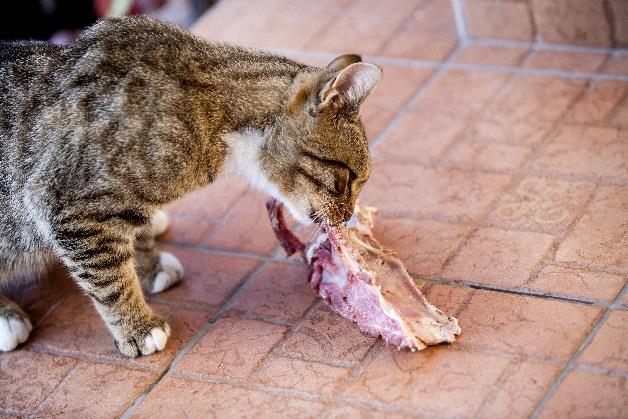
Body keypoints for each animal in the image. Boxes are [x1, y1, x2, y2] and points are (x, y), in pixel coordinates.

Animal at [0, 16, 382, 358]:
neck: (209, 111)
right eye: (349, 178)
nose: (346, 216)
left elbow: (136, 238)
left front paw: (149, 265)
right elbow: (108, 279)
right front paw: (138, 327)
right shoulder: (66, 203)